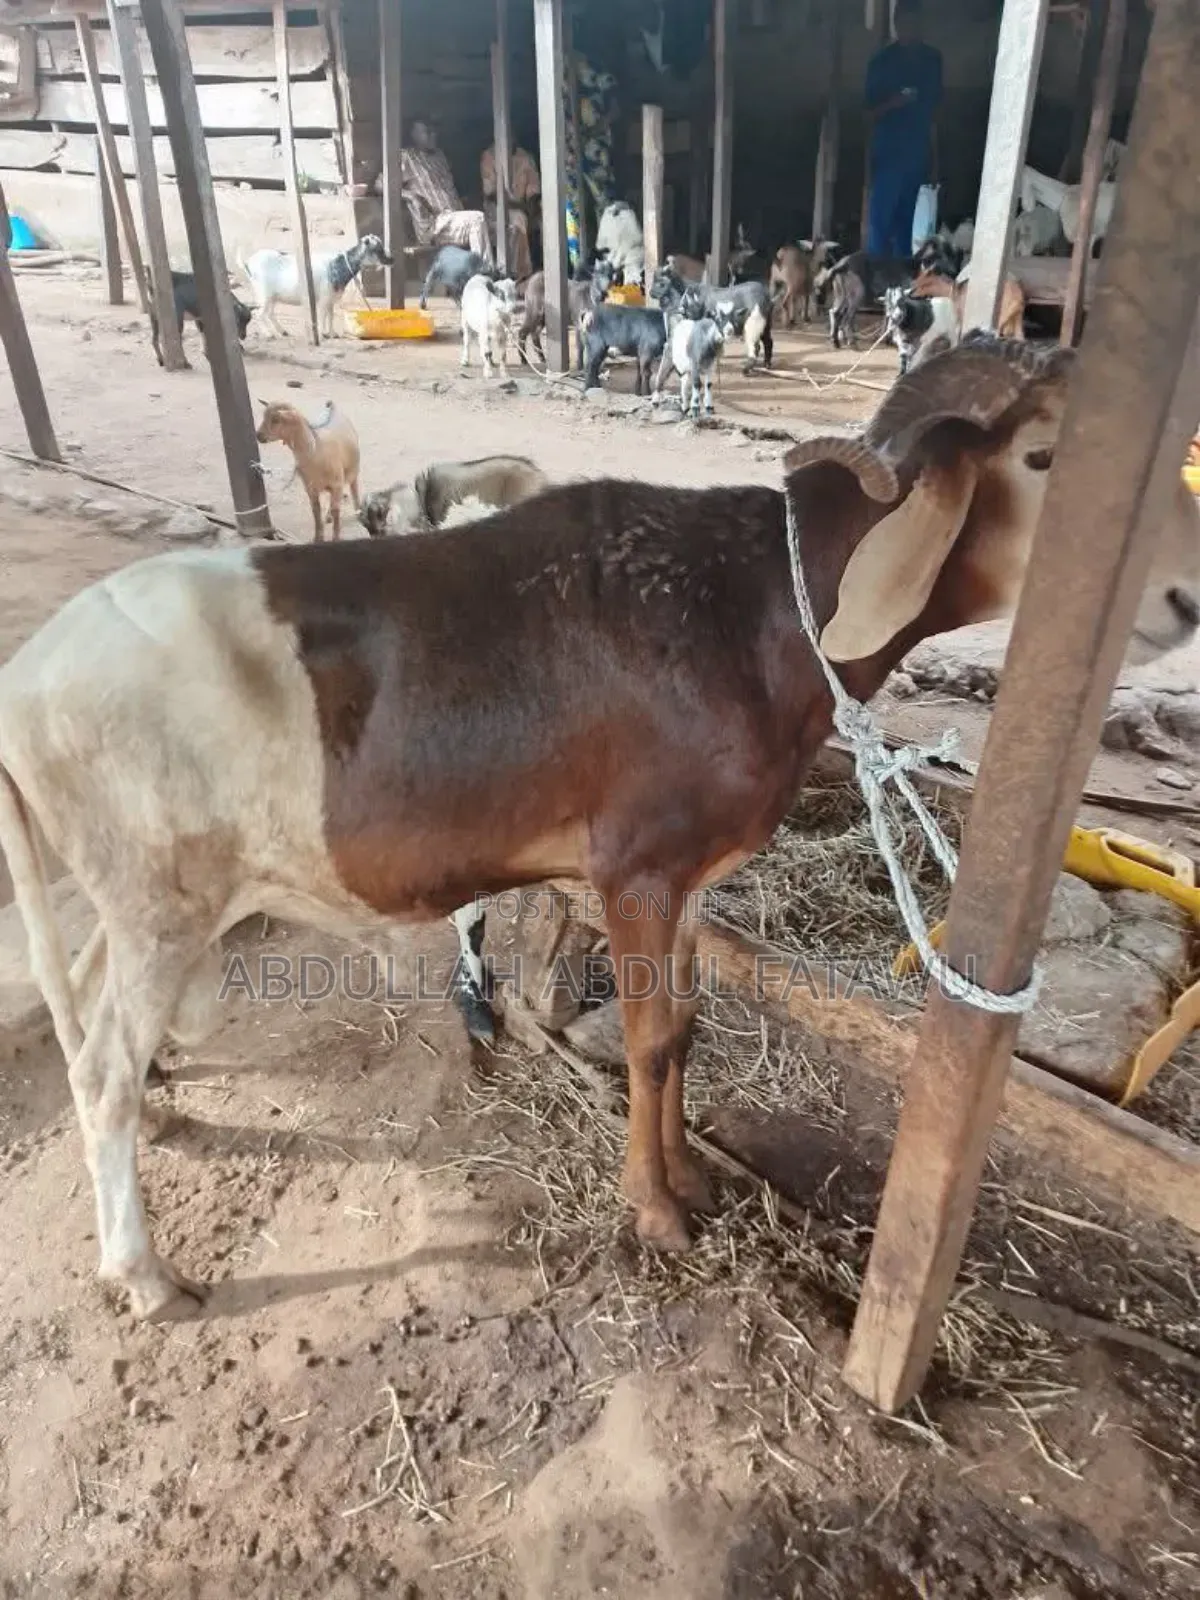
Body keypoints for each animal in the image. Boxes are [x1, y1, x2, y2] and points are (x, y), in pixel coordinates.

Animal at [240, 234, 393, 339]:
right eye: (377, 248)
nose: (392, 259)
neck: (336, 266)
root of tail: (248, 262)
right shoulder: (324, 299)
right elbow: (322, 316)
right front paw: (322, 334)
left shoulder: (330, 299)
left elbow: (330, 317)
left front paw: (332, 334)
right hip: (263, 294)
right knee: (259, 313)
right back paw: (268, 334)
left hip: (272, 296)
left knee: (269, 313)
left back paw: (283, 331)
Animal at [255, 398, 360, 542]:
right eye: (265, 416)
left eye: (276, 419)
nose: (258, 435)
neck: (316, 450)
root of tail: (332, 407)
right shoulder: (311, 488)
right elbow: (316, 511)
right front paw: (317, 538)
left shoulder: (336, 483)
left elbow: (336, 509)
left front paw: (336, 538)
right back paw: (328, 516)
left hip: (353, 469)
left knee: (353, 488)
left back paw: (358, 511)